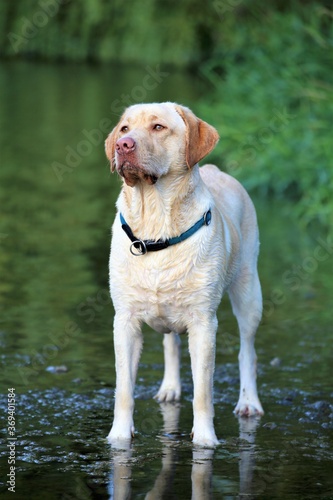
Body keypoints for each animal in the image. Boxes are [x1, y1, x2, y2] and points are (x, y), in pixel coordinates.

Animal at [105, 102, 264, 450]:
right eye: (124, 129)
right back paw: (170, 388)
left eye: (158, 127)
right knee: (171, 342)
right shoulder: (124, 321)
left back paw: (248, 402)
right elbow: (123, 388)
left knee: (247, 350)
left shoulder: (203, 323)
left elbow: (204, 391)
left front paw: (205, 438)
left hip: (249, 292)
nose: (123, 145)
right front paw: (119, 436)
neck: (155, 227)